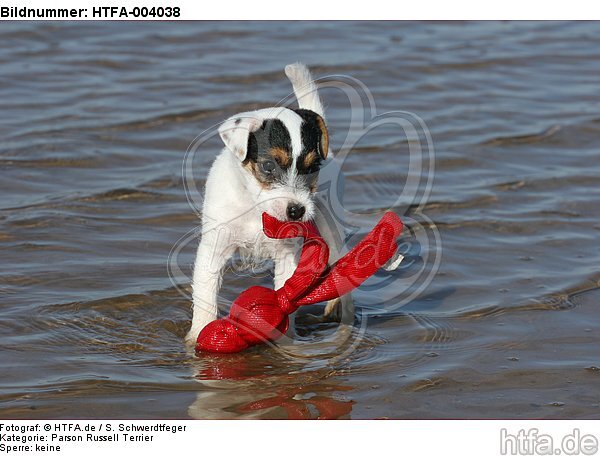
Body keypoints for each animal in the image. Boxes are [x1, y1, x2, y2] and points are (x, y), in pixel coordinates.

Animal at [185, 62, 344, 344]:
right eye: (269, 166)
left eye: (312, 168)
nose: (297, 211)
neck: (256, 210)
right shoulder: (214, 248)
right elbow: (205, 296)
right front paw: (198, 334)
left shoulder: (288, 254)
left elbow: (286, 297)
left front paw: (286, 340)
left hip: (331, 230)